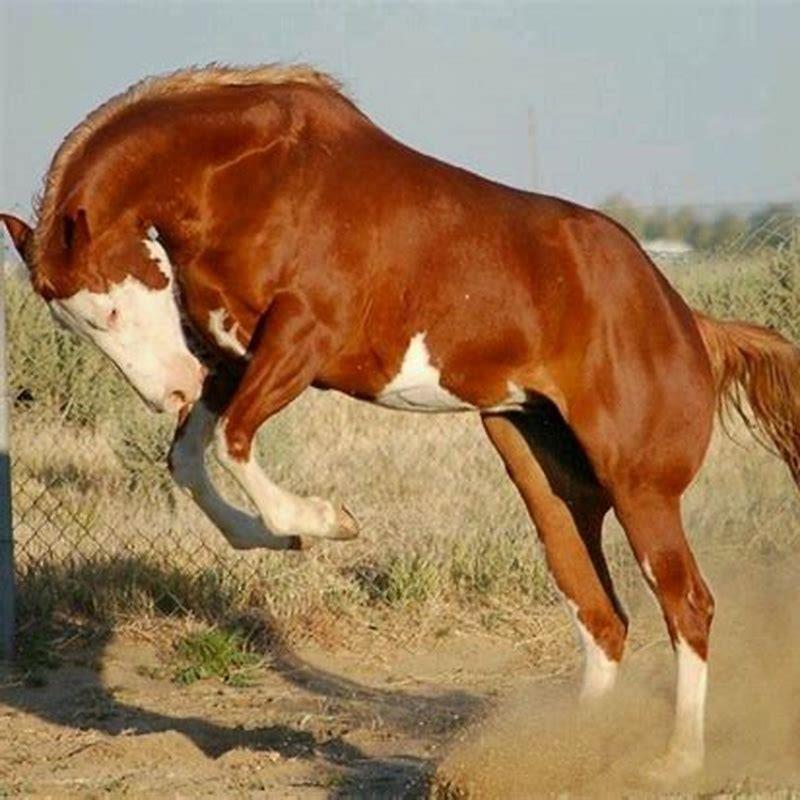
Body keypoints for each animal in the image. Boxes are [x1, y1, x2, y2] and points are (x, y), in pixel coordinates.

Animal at [3, 64, 798, 781]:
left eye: (107, 307)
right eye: (74, 325)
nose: (169, 390)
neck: (255, 180)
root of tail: (683, 319)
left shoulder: (301, 340)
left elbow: (231, 443)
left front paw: (325, 521)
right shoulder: (232, 358)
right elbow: (193, 460)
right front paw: (280, 536)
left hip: (639, 488)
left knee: (687, 605)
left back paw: (676, 761)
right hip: (549, 481)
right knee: (602, 617)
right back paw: (572, 753)